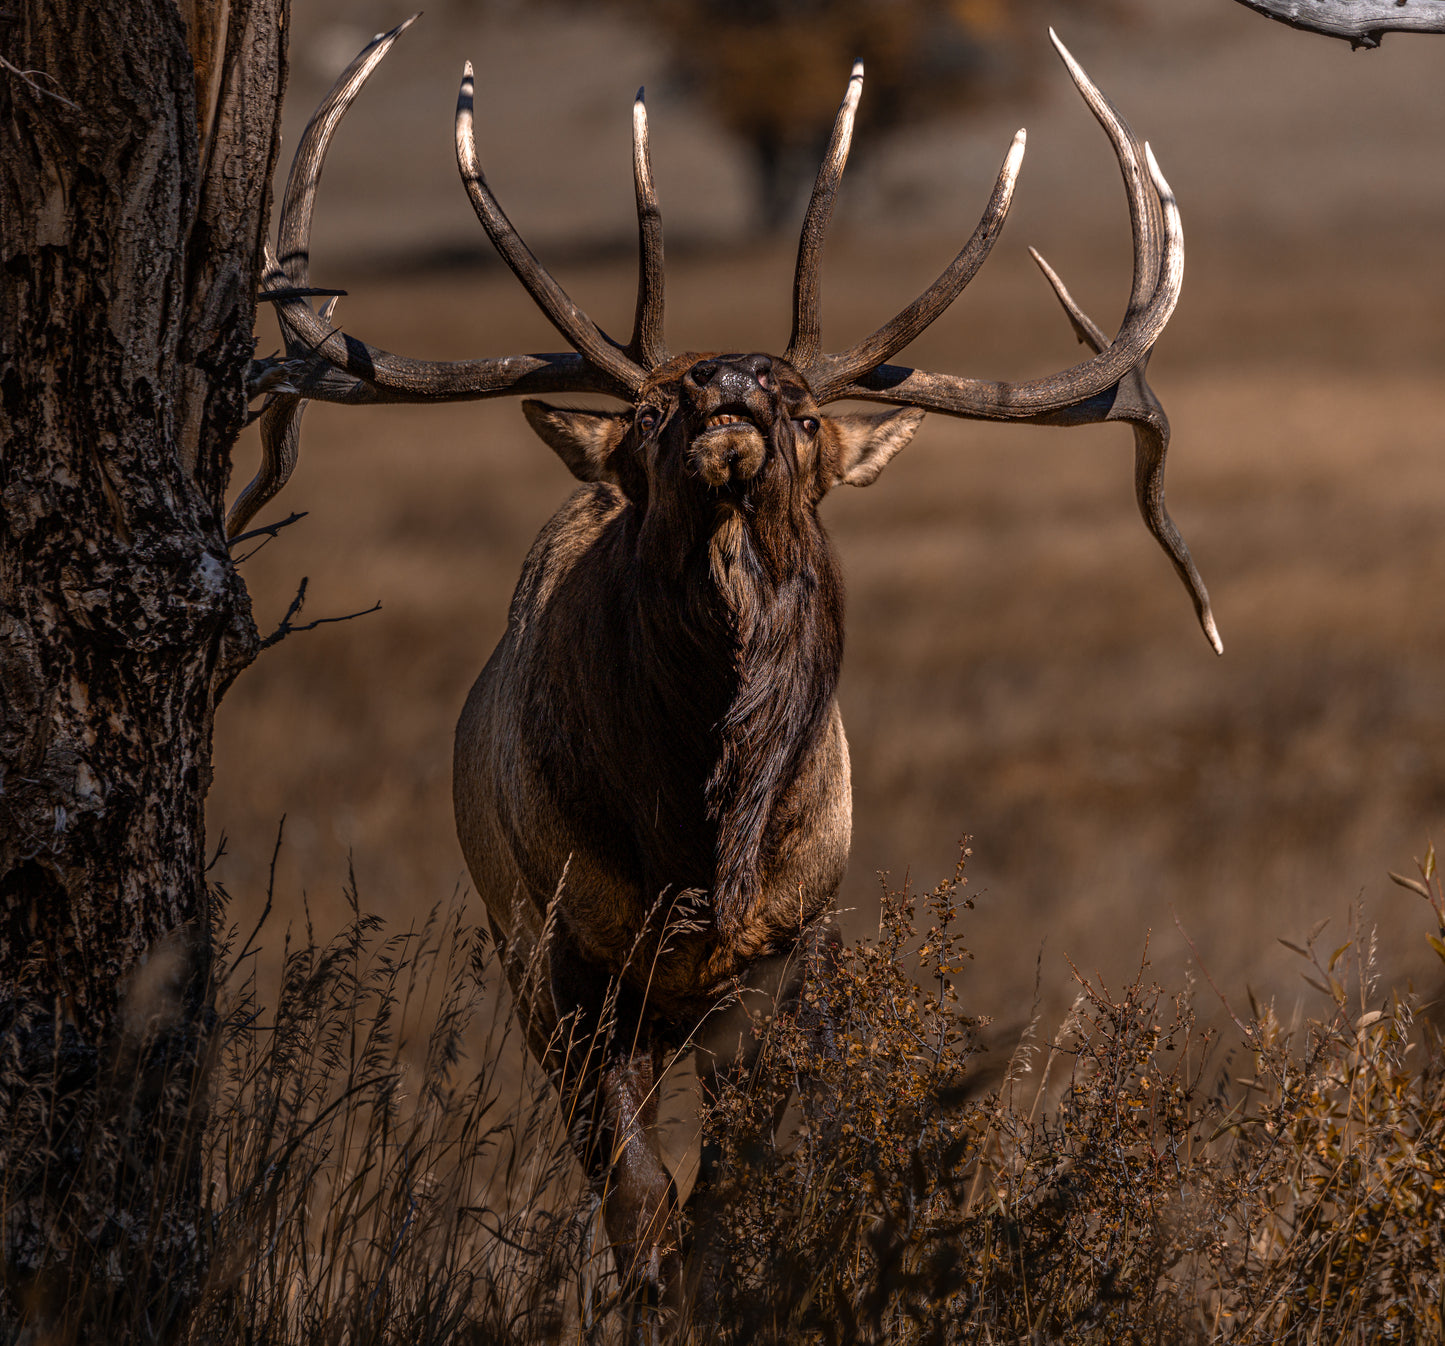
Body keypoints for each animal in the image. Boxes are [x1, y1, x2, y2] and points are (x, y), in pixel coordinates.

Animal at [238, 15, 1221, 1329]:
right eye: (652, 413)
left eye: (805, 418)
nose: (732, 383)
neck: (702, 845)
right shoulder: (556, 955)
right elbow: (637, 1198)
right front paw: (650, 1294)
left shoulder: (785, 957)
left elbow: (731, 1192)